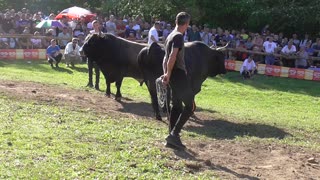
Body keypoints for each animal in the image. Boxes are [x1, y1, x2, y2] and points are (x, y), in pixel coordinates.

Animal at [81, 33, 226, 120]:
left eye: (91, 42)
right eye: (86, 40)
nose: (81, 50)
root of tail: (151, 48)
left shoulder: (119, 72)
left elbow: (116, 84)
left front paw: (116, 96)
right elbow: (110, 83)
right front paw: (110, 94)